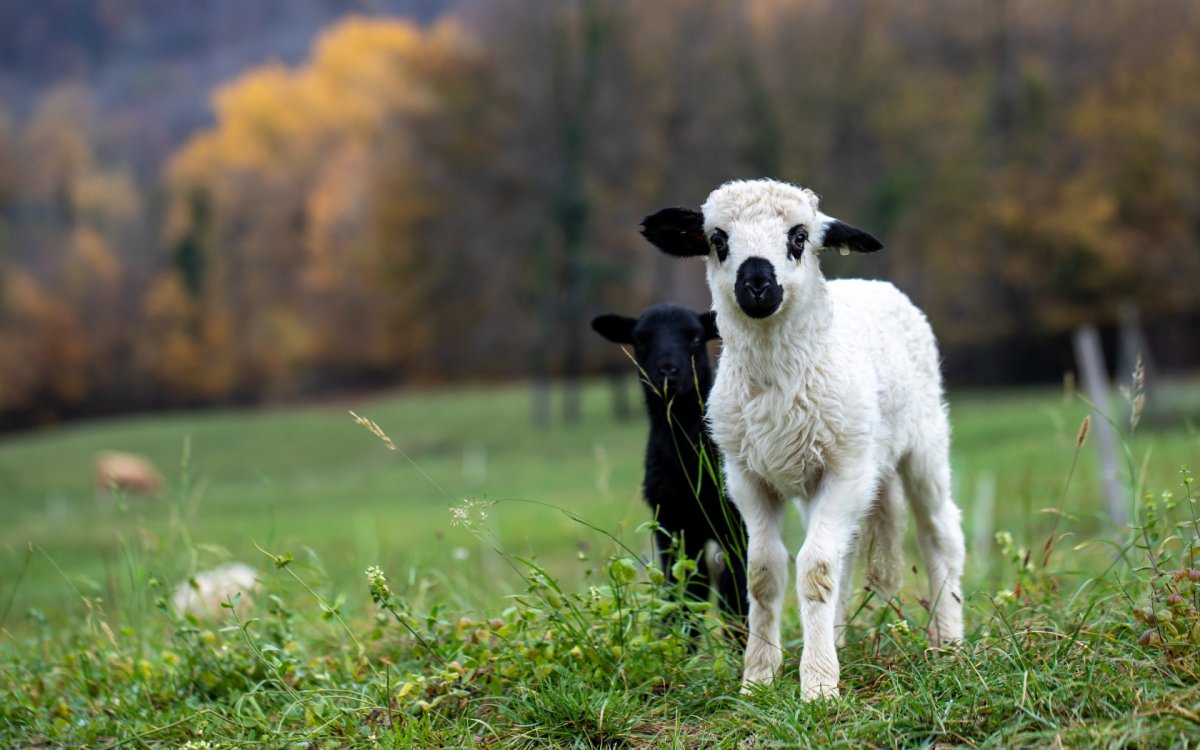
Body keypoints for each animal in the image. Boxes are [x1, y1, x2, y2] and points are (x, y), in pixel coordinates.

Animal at [588, 301, 744, 628]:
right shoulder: (671, 522)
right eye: (640, 341)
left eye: (695, 338)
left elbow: (736, 590)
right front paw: (679, 637)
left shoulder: (734, 523)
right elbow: (683, 590)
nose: (668, 372)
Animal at [638, 178, 964, 700]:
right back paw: (839, 639)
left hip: (924, 442)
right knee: (846, 555)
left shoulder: (845, 469)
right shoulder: (746, 478)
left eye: (799, 237)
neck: (778, 381)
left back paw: (949, 641)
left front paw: (818, 686)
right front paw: (759, 678)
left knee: (939, 533)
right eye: (717, 239)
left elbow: (814, 570)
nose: (756, 285)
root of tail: (872, 284)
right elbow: (763, 572)